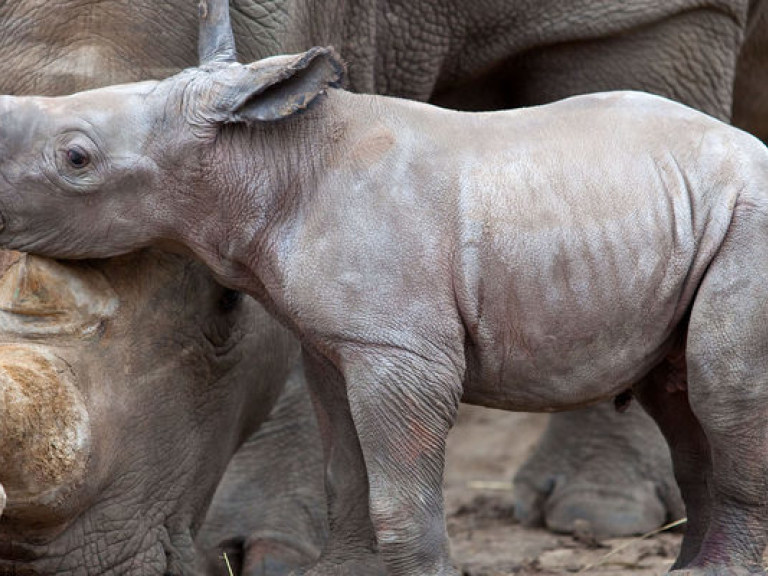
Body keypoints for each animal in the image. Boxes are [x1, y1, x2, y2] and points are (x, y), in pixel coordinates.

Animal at [1, 10, 768, 576]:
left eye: (76, 159)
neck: (263, 156)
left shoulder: (401, 352)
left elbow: (400, 489)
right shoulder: (339, 343)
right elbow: (348, 473)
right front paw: (341, 570)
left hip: (748, 226)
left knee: (721, 390)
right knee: (682, 404)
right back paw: (689, 572)